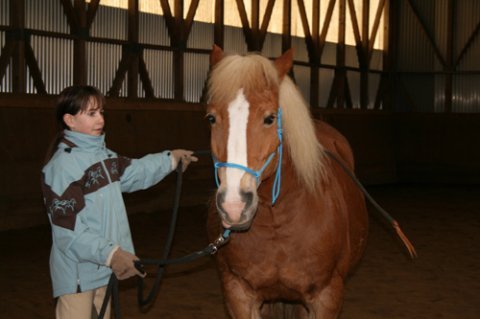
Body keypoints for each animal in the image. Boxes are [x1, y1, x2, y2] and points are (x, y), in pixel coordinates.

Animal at [205, 45, 368, 319]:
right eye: (211, 118)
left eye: (270, 118)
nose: (234, 206)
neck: (278, 222)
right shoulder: (238, 294)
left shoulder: (326, 297)